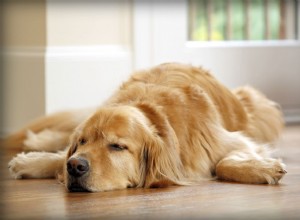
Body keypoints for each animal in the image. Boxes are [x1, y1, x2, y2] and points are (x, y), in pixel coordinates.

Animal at [6, 62, 286, 192]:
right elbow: (61, 156)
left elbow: (223, 163)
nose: (76, 166)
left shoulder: (234, 141)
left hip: (257, 106)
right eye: (83, 142)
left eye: (117, 147)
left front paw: (264, 168)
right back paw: (36, 143)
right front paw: (31, 161)